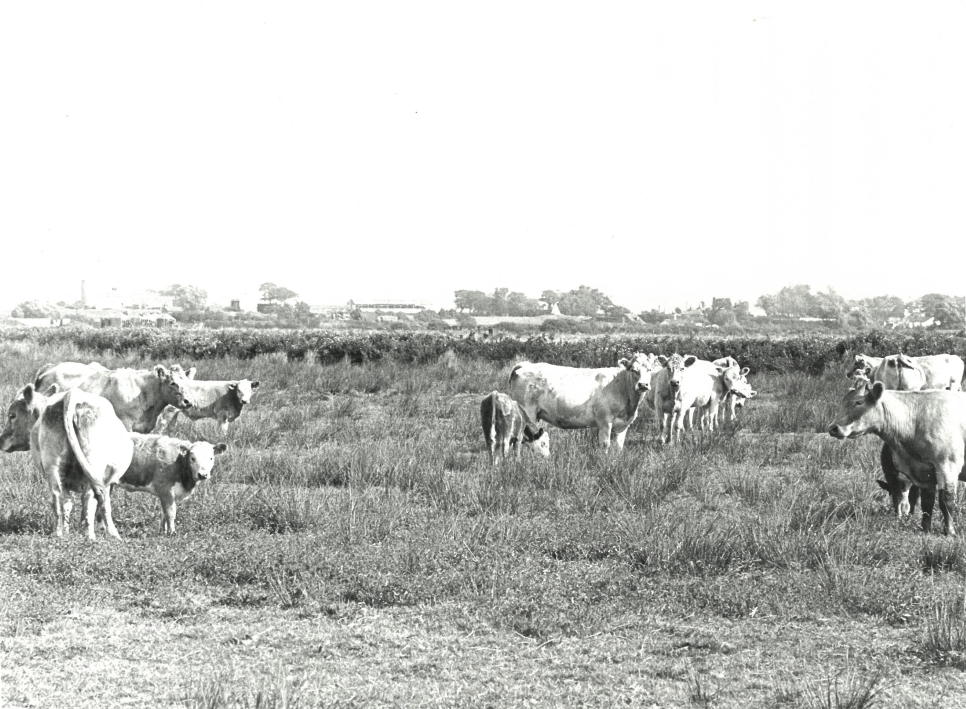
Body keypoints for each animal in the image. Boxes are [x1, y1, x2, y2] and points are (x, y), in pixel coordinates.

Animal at [0, 385, 133, 539]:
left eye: (12, 415)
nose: (1, 440)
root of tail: (72, 394)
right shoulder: (107, 482)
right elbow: (104, 506)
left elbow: (68, 504)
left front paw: (68, 530)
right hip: (92, 466)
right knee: (90, 499)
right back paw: (90, 536)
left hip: (53, 466)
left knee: (58, 498)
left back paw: (59, 534)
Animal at [508, 353, 659, 450]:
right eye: (634, 370)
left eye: (650, 369)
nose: (643, 385)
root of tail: (525, 365)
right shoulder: (604, 420)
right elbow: (605, 444)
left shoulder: (624, 424)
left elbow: (619, 446)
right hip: (526, 412)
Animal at [828, 379, 966, 535]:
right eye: (843, 401)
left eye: (859, 402)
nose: (833, 428)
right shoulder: (924, 471)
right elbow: (927, 502)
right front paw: (925, 529)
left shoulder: (948, 465)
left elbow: (946, 500)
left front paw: (950, 532)